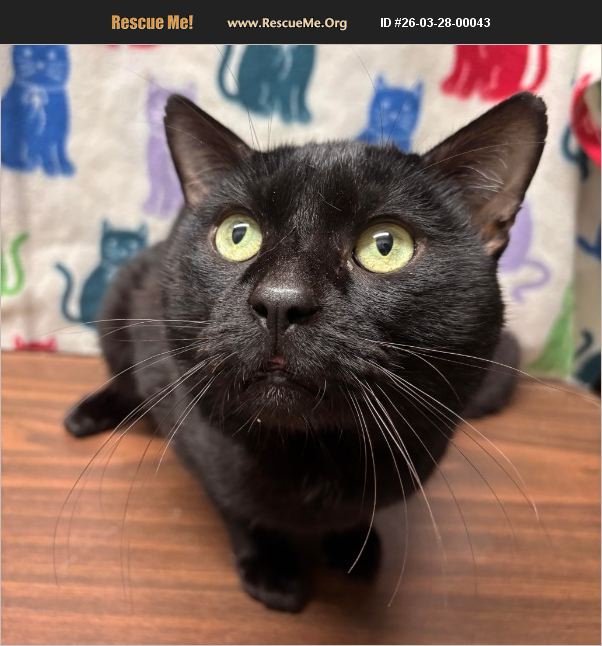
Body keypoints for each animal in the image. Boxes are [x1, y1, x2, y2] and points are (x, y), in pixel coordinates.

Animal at [1, 45, 75, 176]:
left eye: (52, 55)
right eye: (28, 53)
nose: (40, 65)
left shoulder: (61, 132)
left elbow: (61, 150)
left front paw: (65, 165)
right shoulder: (39, 135)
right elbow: (45, 151)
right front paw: (50, 168)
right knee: (11, 158)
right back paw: (27, 163)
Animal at [143, 82, 195, 218]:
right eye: (155, 102)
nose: (157, 110)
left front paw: (162, 211)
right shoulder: (154, 172)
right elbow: (155, 189)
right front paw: (151, 206)